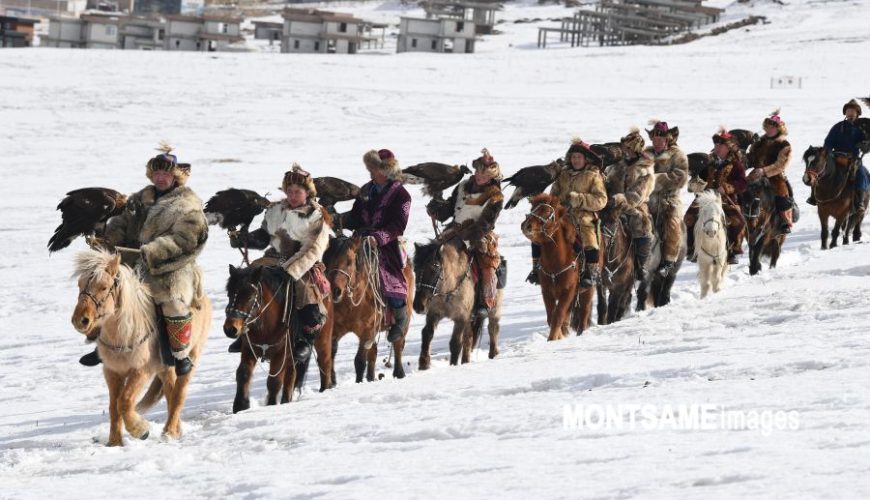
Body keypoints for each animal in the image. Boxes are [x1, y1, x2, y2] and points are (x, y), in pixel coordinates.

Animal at [71, 250, 211, 446]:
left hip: (192, 353)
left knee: (179, 393)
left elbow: (124, 401)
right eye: (80, 284)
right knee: (170, 391)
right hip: (165, 368)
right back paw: (175, 430)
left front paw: (141, 430)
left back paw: (169, 432)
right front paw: (115, 443)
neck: (125, 334)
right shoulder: (112, 372)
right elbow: (113, 406)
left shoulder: (141, 371)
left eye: (104, 287)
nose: (80, 320)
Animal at [223, 266, 336, 414]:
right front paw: (240, 406)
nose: (230, 329)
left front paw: (271, 405)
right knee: (291, 376)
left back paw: (325, 389)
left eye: (250, 296)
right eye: (230, 294)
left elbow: (274, 381)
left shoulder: (280, 353)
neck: (265, 325)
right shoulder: (249, 349)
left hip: (322, 339)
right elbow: (243, 374)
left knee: (325, 362)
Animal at [324, 236, 416, 380]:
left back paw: (399, 372)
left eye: (349, 262)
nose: (335, 291)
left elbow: (360, 361)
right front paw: (331, 382)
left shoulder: (366, 332)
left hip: (402, 323)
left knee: (397, 344)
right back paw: (371, 377)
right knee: (373, 353)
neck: (351, 306)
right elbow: (331, 355)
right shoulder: (336, 330)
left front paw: (359, 381)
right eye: (328, 259)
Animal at [520, 193, 596, 338]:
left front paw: (552, 339)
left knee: (584, 310)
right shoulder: (547, 291)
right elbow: (552, 317)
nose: (526, 226)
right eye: (532, 209)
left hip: (588, 289)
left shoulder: (568, 291)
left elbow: (558, 316)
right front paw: (559, 336)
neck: (556, 263)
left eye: (547, 212)